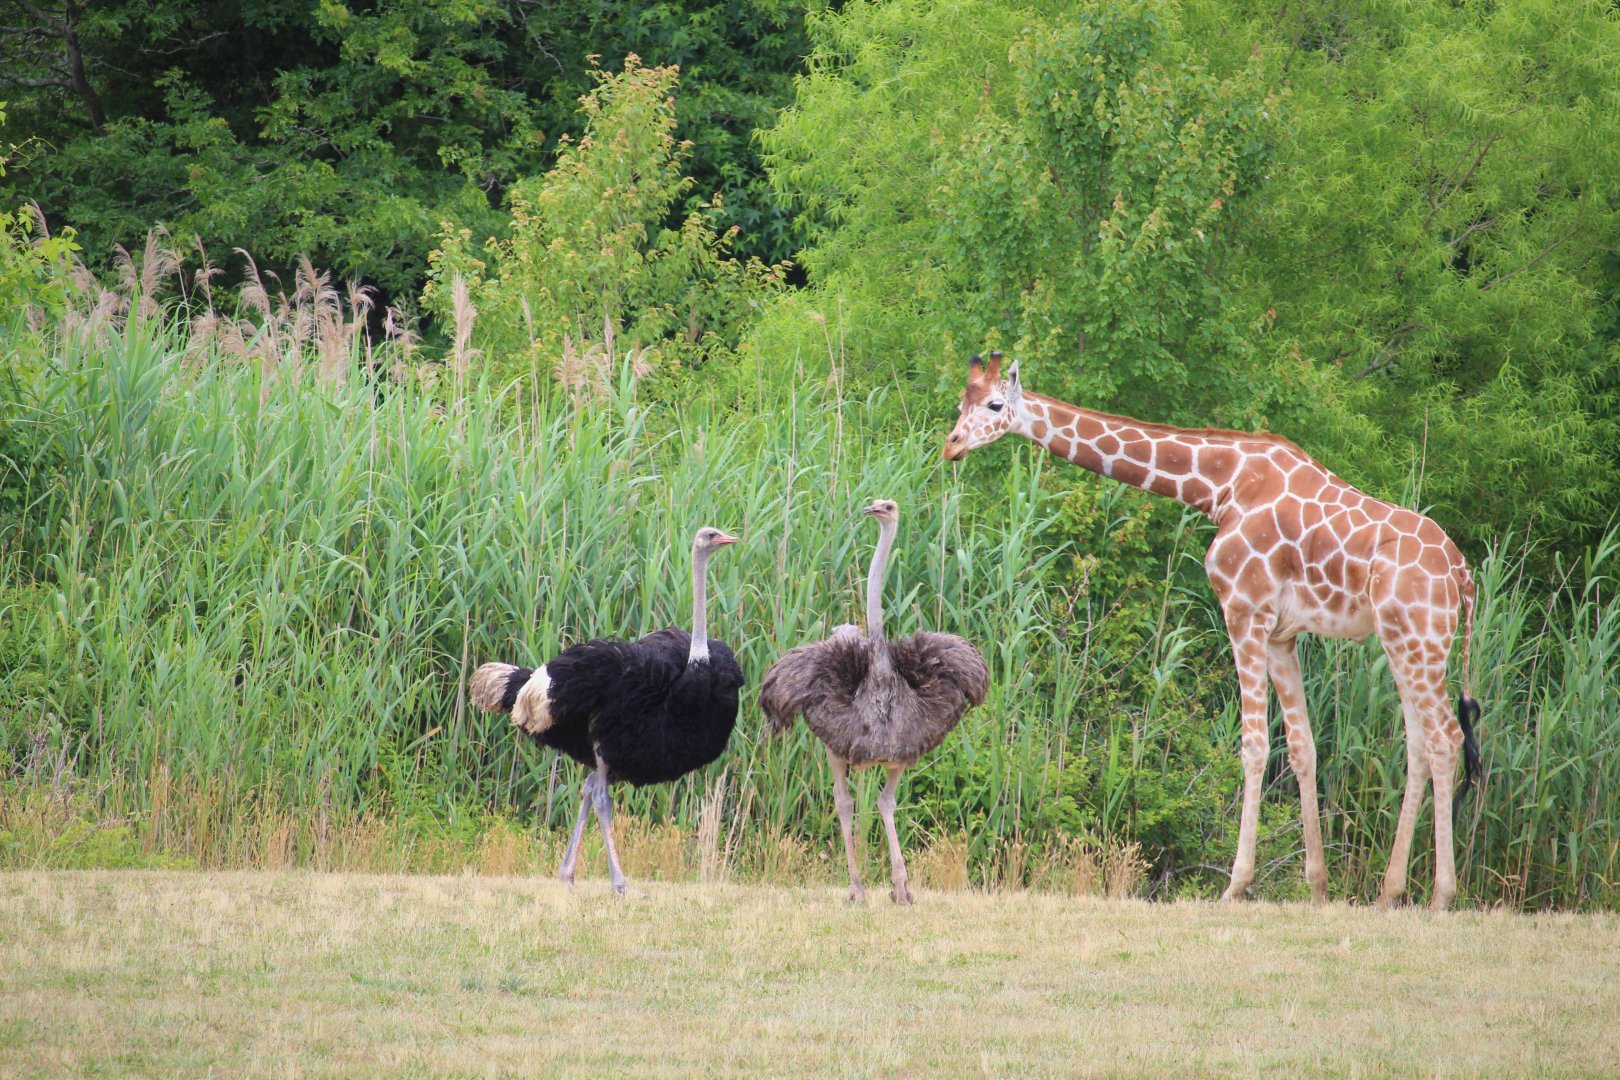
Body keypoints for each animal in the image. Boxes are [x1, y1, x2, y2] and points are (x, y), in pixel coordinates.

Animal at [943, 352, 1481, 909]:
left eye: (995, 404)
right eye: (959, 403)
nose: (951, 445)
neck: (1220, 485)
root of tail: (1463, 575)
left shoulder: (1244, 610)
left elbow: (1255, 746)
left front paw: (1235, 885)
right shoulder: (1281, 634)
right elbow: (1302, 747)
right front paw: (1317, 888)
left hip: (1418, 639)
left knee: (1444, 738)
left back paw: (1441, 896)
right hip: (1405, 644)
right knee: (1419, 745)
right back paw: (1389, 893)